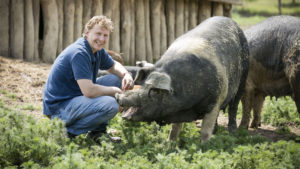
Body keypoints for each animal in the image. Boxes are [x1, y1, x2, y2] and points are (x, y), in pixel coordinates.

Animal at [115, 16, 248, 142]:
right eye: (143, 84)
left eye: (154, 91)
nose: (118, 95)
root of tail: (230, 20)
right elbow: (175, 128)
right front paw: (170, 143)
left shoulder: (216, 99)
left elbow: (205, 130)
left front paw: (204, 145)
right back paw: (216, 131)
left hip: (243, 76)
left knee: (234, 106)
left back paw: (233, 131)